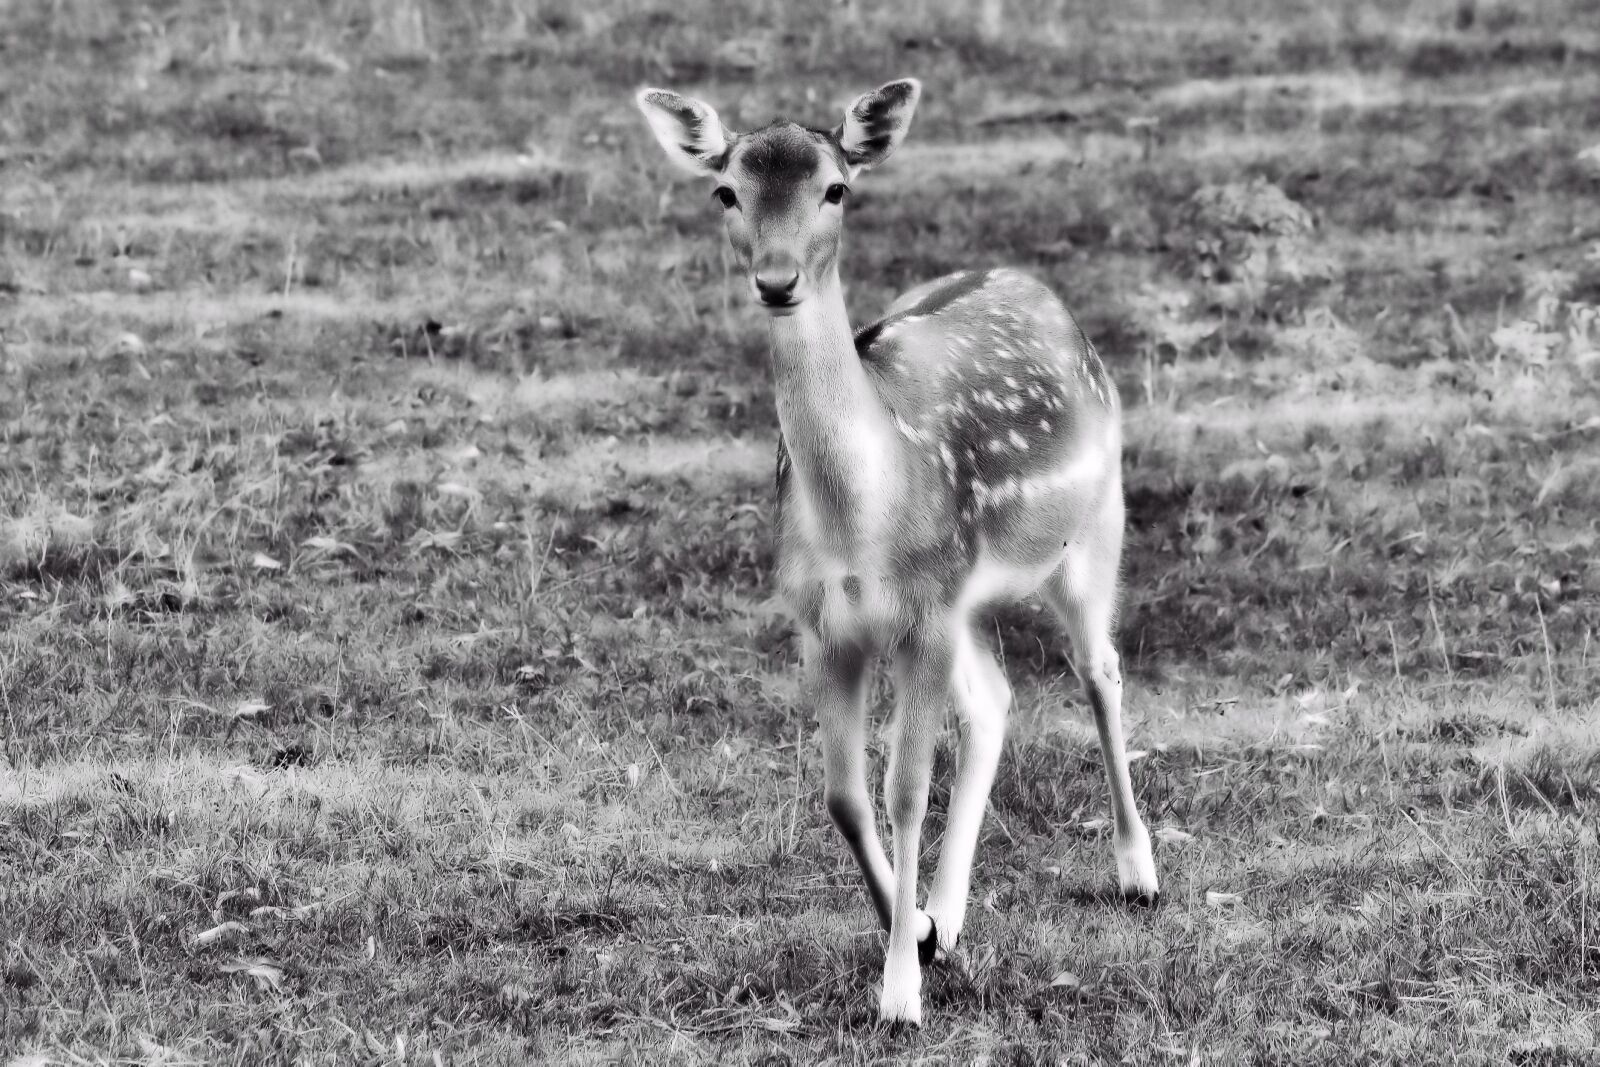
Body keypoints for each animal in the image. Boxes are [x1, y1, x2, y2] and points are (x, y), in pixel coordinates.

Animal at [635, 78, 1158, 1027]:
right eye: (725, 191)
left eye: (836, 188)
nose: (777, 279)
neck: (860, 524)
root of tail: (1034, 284)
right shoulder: (825, 623)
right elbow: (844, 795)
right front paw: (914, 930)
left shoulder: (923, 615)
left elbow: (905, 787)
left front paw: (899, 993)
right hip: (965, 600)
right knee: (995, 699)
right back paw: (948, 915)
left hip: (1094, 525)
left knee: (1098, 667)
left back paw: (1139, 870)